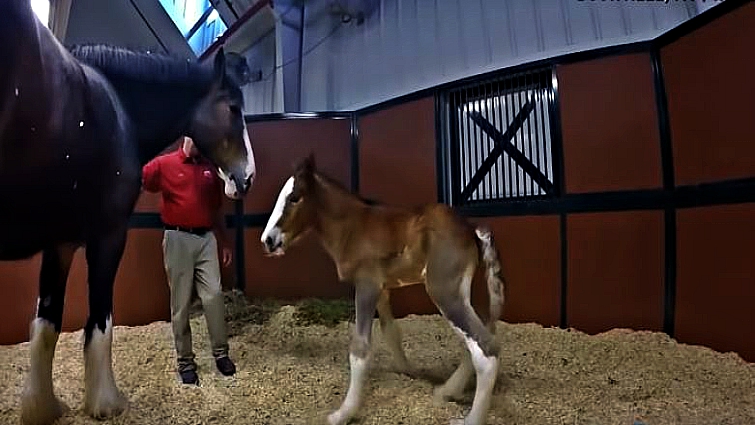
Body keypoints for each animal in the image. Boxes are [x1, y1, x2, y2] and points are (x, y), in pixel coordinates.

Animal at [0, 2, 256, 424]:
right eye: (234, 109)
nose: (248, 176)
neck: (118, 108)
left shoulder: (61, 245)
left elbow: (47, 323)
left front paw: (43, 407)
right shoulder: (108, 237)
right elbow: (100, 321)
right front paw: (106, 402)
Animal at [260, 155, 507, 425]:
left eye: (294, 197)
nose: (268, 240)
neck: (353, 228)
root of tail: (472, 231)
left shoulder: (366, 286)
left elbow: (360, 348)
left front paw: (343, 413)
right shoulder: (383, 290)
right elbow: (391, 332)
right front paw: (410, 372)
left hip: (445, 293)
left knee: (486, 350)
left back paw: (470, 418)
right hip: (463, 296)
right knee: (477, 339)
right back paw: (446, 391)